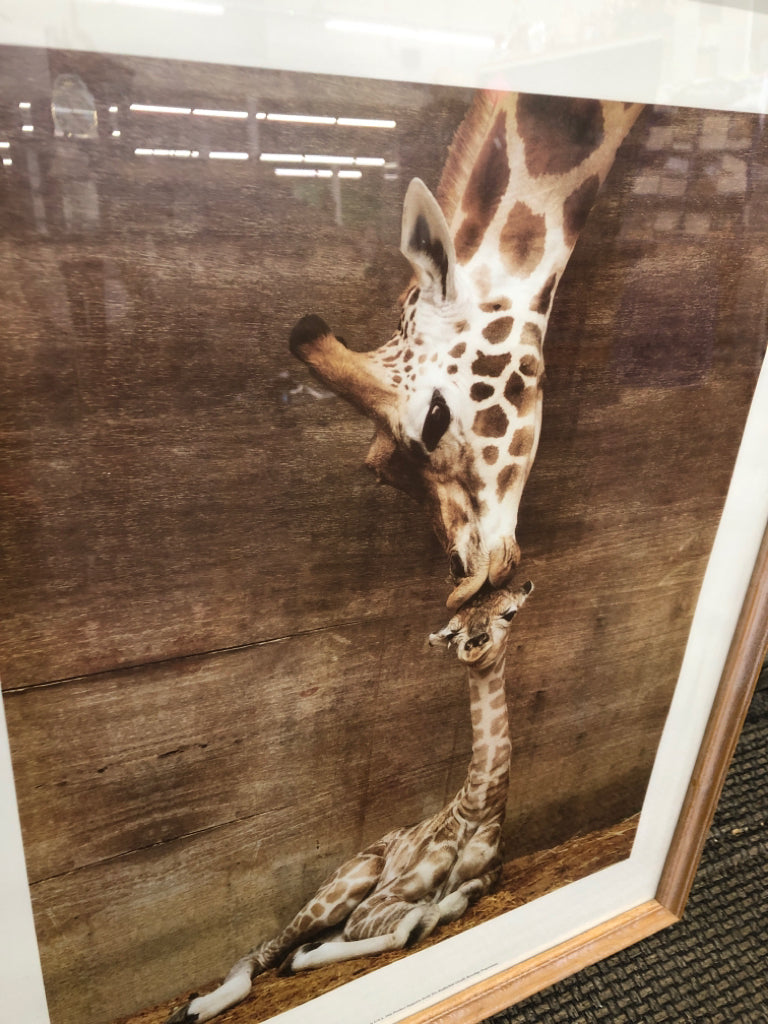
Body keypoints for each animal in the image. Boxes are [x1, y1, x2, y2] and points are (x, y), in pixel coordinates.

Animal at [165, 579, 533, 1024]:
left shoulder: (484, 880)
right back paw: (194, 1007)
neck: (477, 807)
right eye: (452, 630)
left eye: (509, 612)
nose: (474, 645)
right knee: (263, 951)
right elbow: (413, 922)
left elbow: (444, 906)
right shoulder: (377, 902)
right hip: (344, 886)